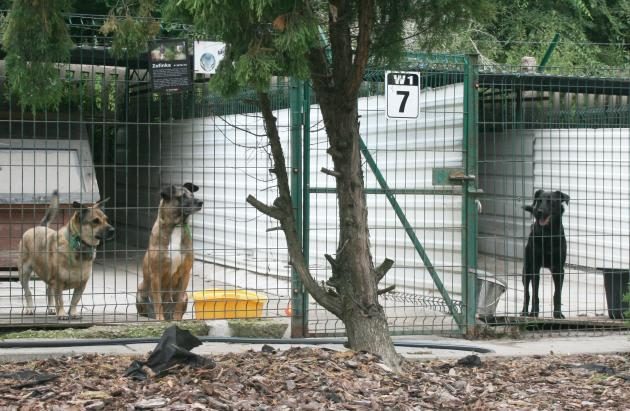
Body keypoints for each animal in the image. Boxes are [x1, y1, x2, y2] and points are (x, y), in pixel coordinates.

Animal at [17, 192, 115, 320]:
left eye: (106, 220)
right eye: (95, 221)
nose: (113, 230)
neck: (79, 244)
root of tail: (38, 227)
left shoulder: (82, 284)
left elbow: (75, 300)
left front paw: (73, 313)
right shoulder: (58, 282)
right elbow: (60, 300)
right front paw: (62, 314)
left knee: (49, 291)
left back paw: (51, 308)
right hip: (24, 272)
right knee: (28, 292)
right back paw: (29, 308)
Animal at [137, 183, 204, 322]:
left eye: (192, 195)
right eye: (182, 196)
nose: (201, 202)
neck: (177, 226)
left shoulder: (185, 273)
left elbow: (178, 300)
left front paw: (177, 318)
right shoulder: (156, 274)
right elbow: (157, 300)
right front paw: (160, 318)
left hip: (186, 295)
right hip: (140, 291)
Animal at [524, 188, 572, 320]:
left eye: (551, 202)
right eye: (539, 201)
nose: (539, 212)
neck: (547, 234)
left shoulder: (558, 269)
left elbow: (557, 294)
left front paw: (558, 314)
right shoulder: (534, 268)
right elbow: (534, 294)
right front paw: (534, 313)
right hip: (526, 270)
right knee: (527, 293)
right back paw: (524, 312)